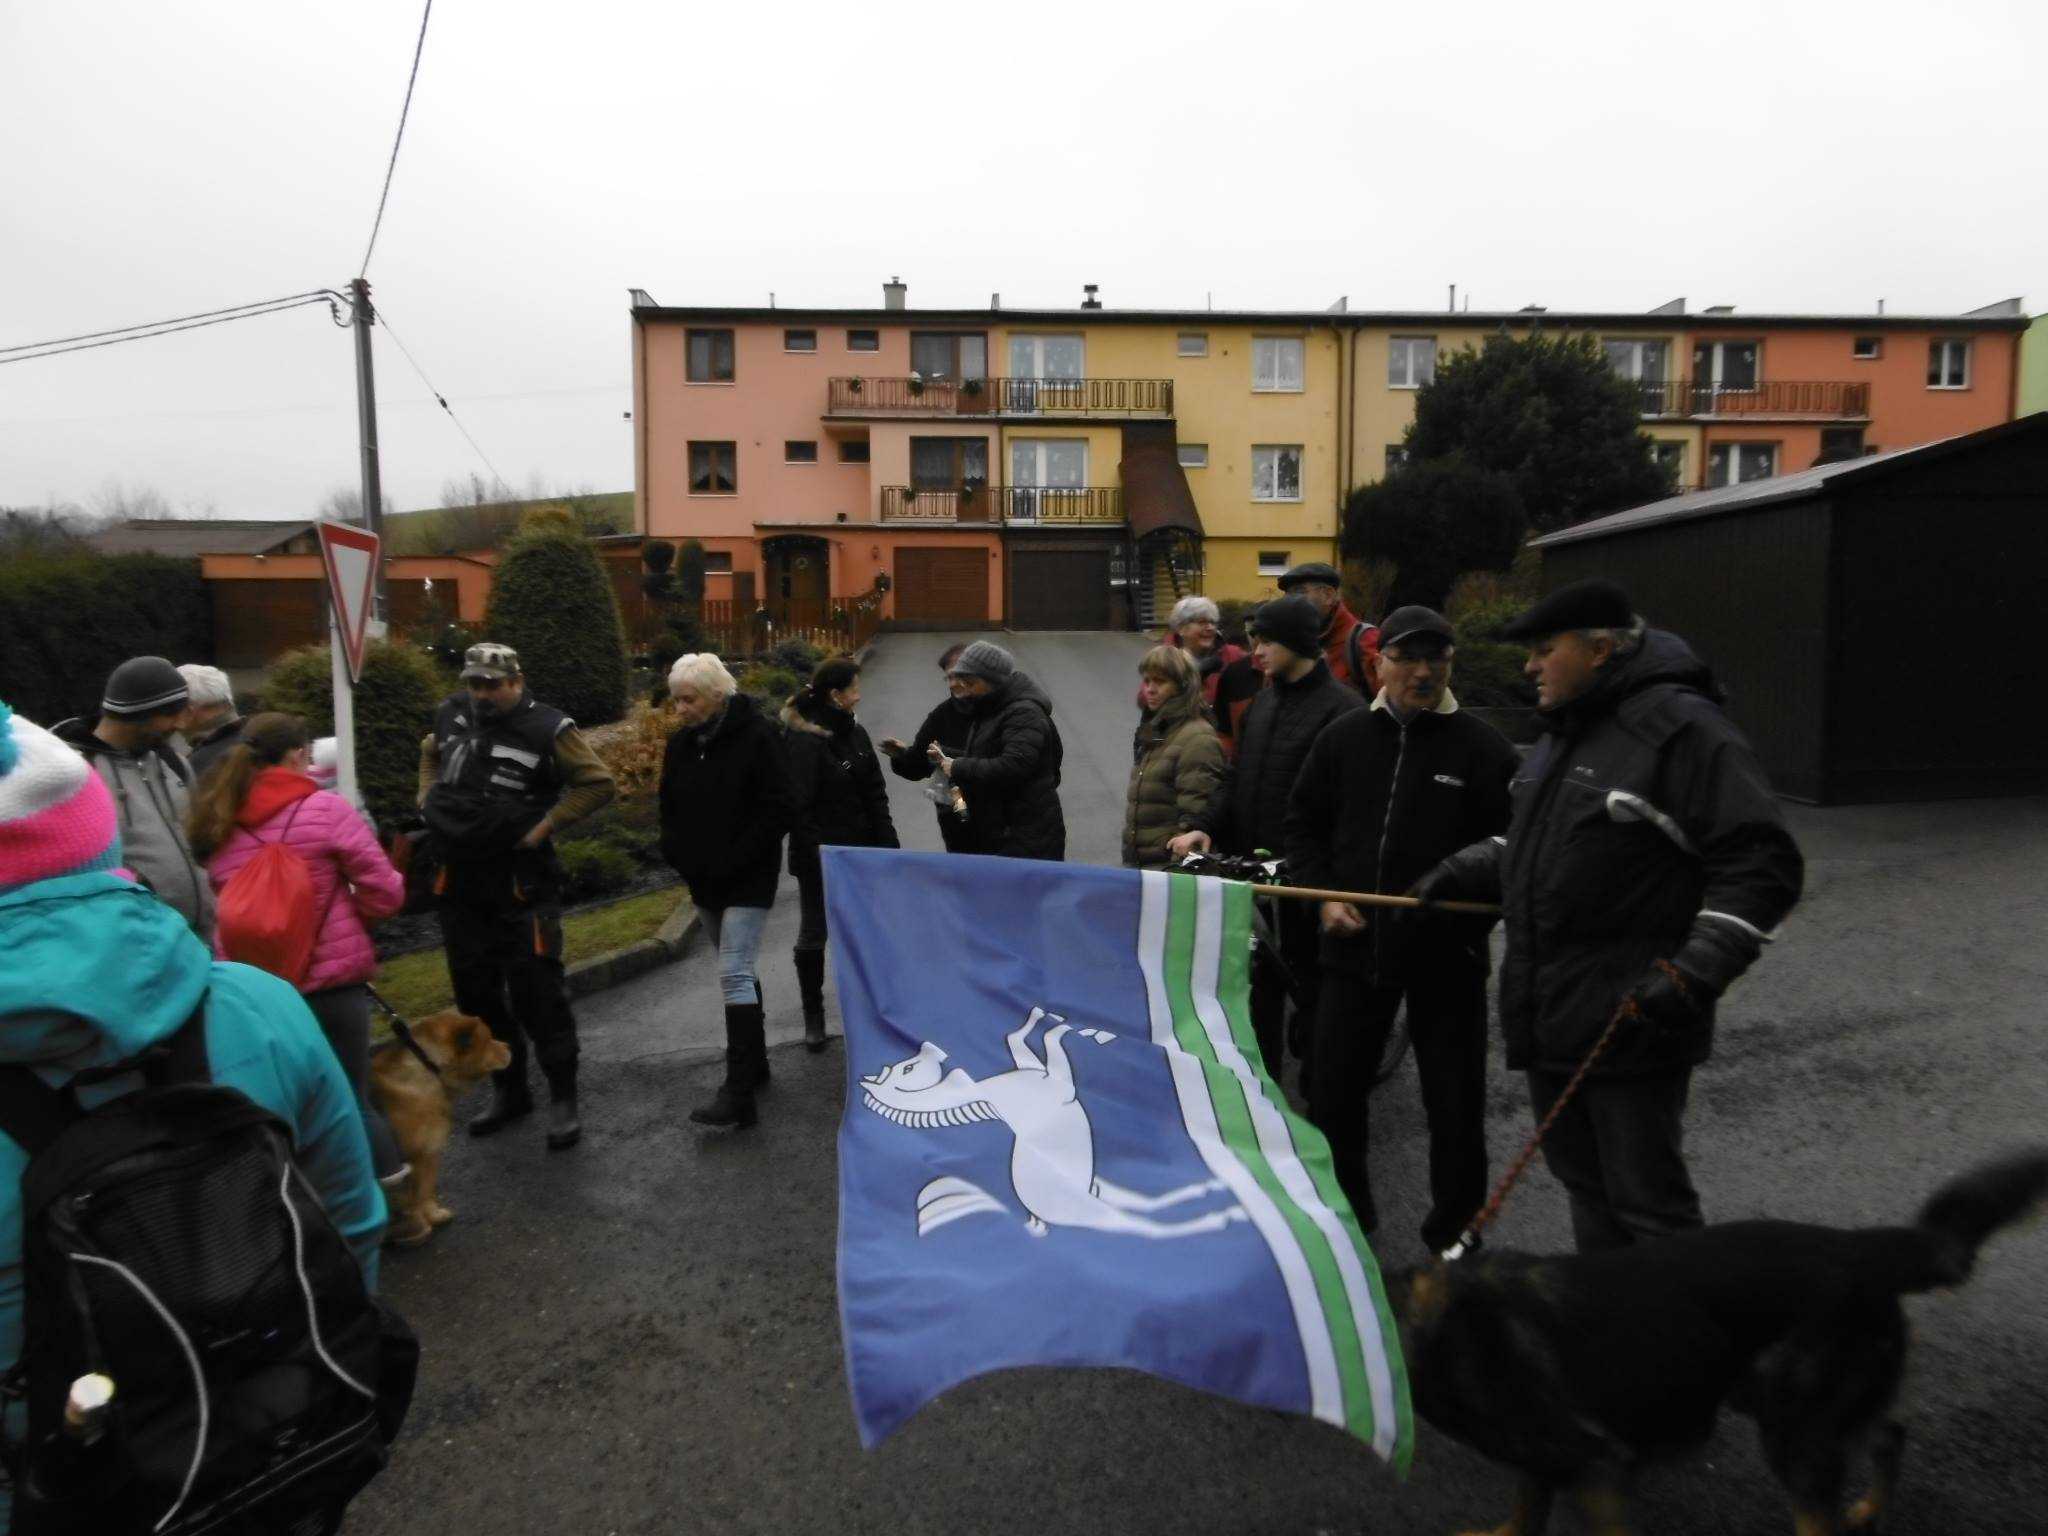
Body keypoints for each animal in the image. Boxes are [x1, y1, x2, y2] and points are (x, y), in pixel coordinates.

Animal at [369, 1008, 512, 1247]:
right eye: (488, 1040)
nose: (509, 1046)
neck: (429, 1067)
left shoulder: (429, 1153)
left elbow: (426, 1191)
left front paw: (434, 1215)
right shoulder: (415, 1158)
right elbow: (414, 1197)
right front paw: (418, 1225)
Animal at [1387, 1150, 2048, 1536]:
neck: (1422, 1327)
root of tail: (1858, 1249)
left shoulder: (1594, 1465)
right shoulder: (1545, 1461)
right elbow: (1526, 1513)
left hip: (1793, 1430)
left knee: (1825, 1510)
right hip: (1795, 1400)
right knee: (1888, 1434)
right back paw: (1871, 1508)